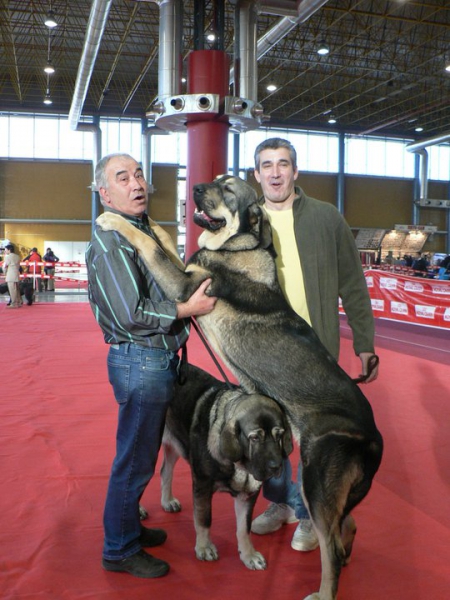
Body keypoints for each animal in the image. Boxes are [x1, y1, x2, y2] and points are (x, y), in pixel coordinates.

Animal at [96, 173, 384, 600]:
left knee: (329, 545)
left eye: (229, 189)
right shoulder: (187, 273)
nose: (196, 188)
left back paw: (323, 590)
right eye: (216, 180)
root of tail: (375, 438)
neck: (239, 245)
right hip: (335, 497)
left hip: (316, 482)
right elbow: (163, 241)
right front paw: (153, 223)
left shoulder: (185, 287)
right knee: (348, 526)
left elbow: (150, 246)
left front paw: (114, 221)